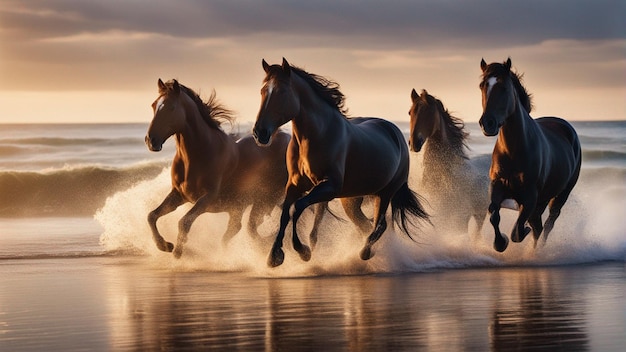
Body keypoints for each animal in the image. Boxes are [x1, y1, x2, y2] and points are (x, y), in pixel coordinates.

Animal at [145, 78, 288, 258]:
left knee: (251, 229)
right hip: (241, 207)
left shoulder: (207, 198)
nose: (151, 141)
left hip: (265, 200)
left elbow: (184, 221)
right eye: (153, 105)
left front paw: (177, 251)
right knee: (238, 229)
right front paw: (164, 245)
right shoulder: (179, 194)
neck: (199, 155)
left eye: (171, 107)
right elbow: (151, 216)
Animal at [251, 58, 426, 266]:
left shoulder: (330, 186)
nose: (259, 132)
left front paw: (302, 251)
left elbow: (297, 208)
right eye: (262, 91)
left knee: (380, 225)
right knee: (366, 225)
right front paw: (274, 256)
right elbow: (286, 212)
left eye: (282, 92)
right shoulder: (295, 184)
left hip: (385, 193)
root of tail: (396, 132)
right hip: (351, 200)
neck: (317, 135)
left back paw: (366, 252)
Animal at [478, 57, 580, 252]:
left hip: (560, 195)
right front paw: (500, 242)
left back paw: (536, 251)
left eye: (504, 86)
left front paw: (519, 233)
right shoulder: (497, 187)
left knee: (547, 225)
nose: (488, 123)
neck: (513, 151)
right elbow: (494, 215)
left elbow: (518, 232)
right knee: (538, 225)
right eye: (482, 85)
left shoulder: (530, 197)